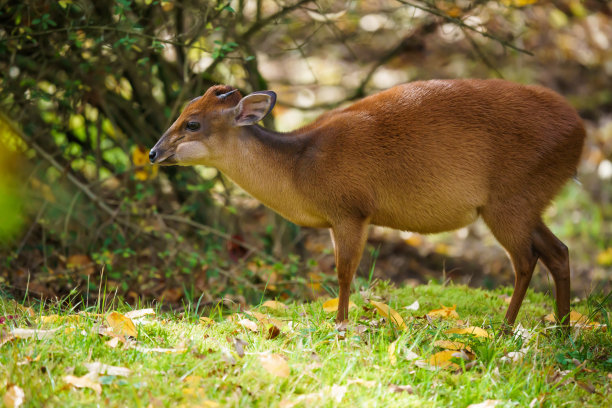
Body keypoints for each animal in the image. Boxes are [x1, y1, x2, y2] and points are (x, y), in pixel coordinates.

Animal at [151, 79, 584, 328]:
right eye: (183, 112)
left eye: (193, 123)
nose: (154, 153)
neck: (299, 167)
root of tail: (580, 132)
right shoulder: (336, 219)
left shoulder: (351, 210)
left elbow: (345, 272)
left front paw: (341, 326)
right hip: (528, 200)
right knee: (558, 251)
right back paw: (562, 328)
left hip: (509, 199)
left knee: (526, 260)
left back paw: (506, 329)